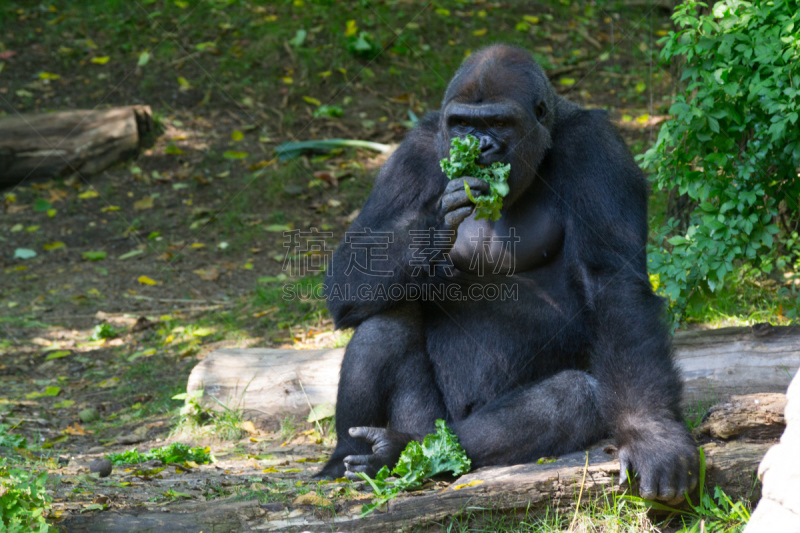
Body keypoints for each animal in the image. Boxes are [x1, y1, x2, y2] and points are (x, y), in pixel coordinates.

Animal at [316, 42, 696, 502]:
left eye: (499, 123)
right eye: (461, 124)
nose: (478, 147)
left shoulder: (596, 147)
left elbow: (614, 284)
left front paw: (652, 434)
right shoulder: (414, 152)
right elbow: (348, 269)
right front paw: (434, 223)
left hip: (441, 428)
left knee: (572, 399)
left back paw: (400, 449)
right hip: (426, 415)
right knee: (384, 322)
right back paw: (349, 457)